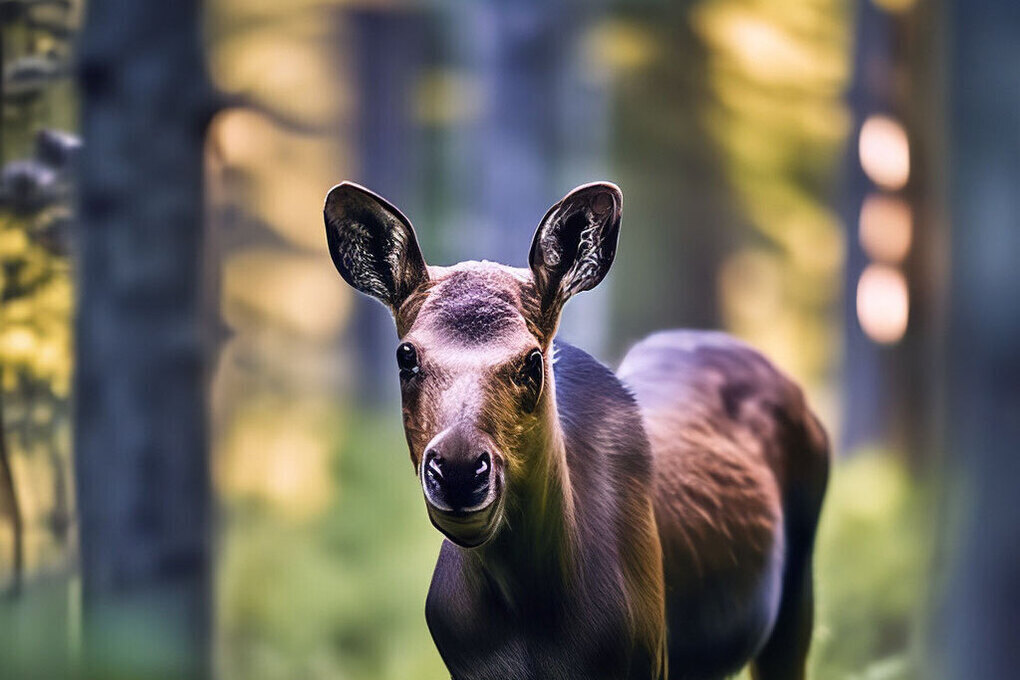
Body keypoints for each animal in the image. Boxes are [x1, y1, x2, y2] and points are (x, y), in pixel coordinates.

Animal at [323, 181, 830, 680]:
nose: (460, 469)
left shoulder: (649, 659)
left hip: (796, 595)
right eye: (405, 355)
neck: (529, 611)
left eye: (534, 359)